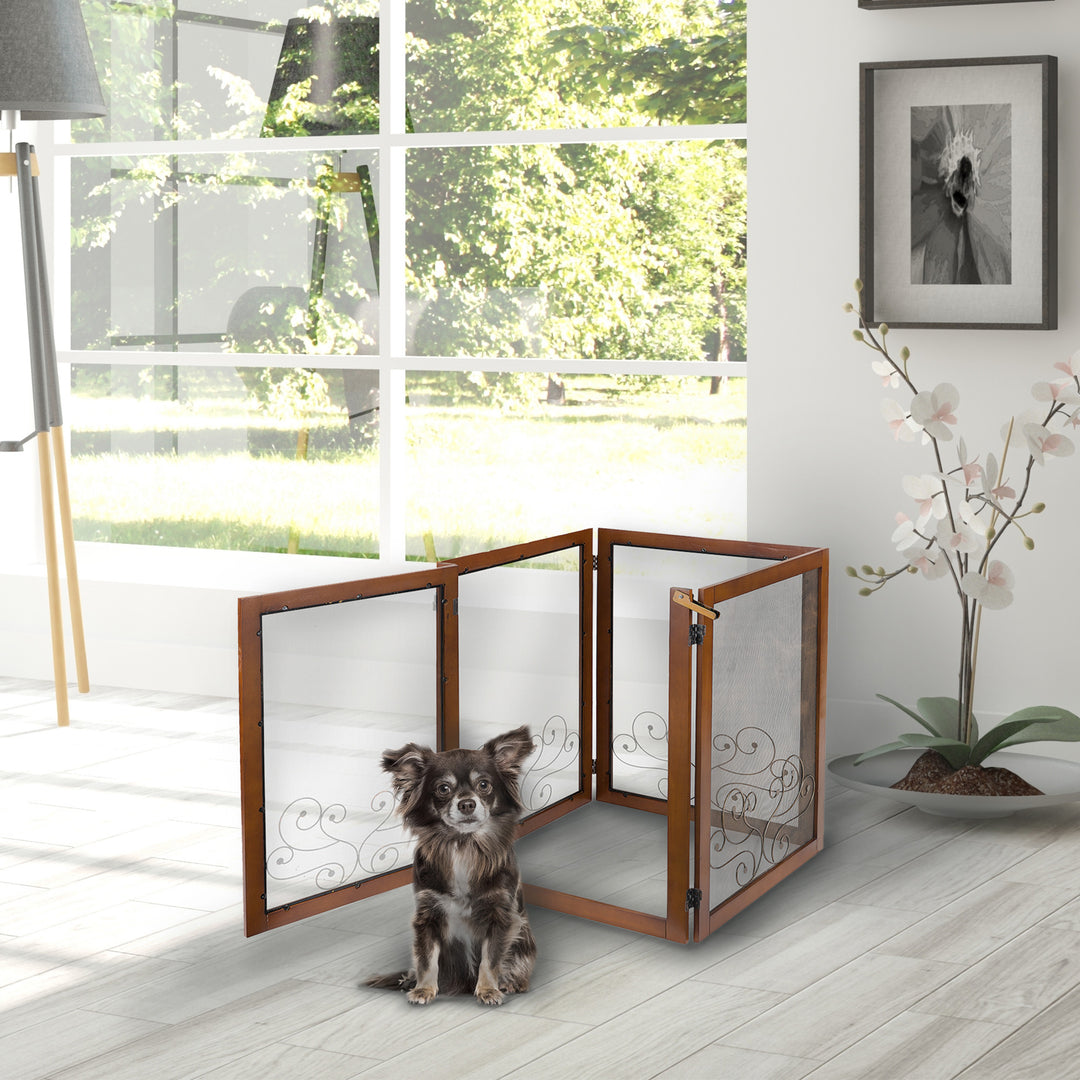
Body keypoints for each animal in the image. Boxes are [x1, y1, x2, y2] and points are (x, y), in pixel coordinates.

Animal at [367, 725, 535, 1002]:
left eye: (484, 785)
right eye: (443, 789)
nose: (467, 803)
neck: (462, 845)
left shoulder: (500, 915)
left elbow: (490, 958)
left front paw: (488, 990)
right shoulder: (428, 915)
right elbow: (426, 959)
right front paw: (423, 989)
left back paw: (512, 982)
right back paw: (409, 981)